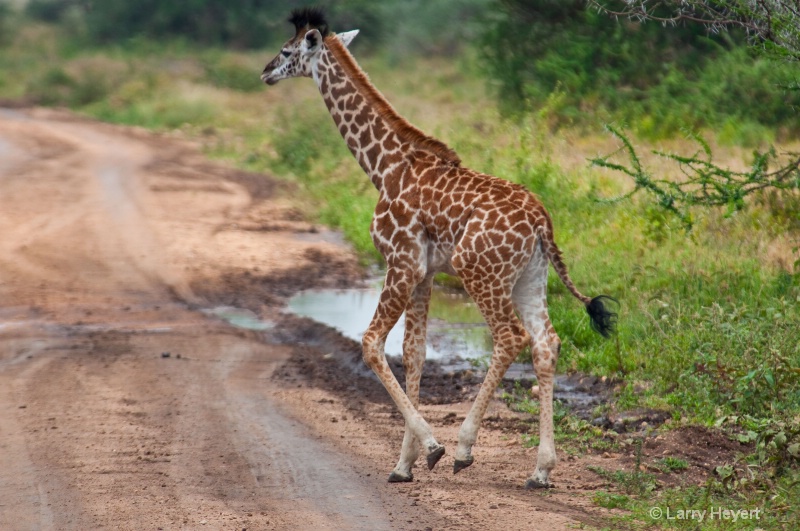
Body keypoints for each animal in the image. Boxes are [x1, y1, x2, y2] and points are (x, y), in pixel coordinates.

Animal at [262, 9, 620, 490]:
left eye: (287, 51)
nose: (265, 72)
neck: (384, 166)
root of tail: (542, 222)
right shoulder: (424, 271)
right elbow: (415, 353)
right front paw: (404, 464)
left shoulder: (400, 262)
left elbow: (372, 343)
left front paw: (431, 448)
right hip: (530, 277)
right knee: (546, 343)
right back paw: (541, 469)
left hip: (480, 271)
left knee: (511, 337)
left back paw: (466, 448)